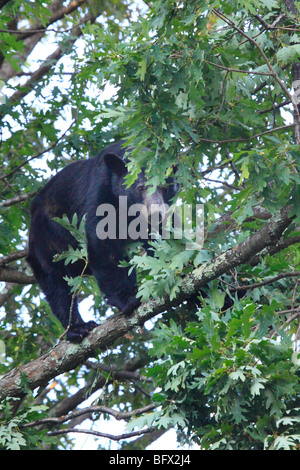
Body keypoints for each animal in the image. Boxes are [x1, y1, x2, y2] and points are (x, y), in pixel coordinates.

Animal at [26, 140, 178, 342]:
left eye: (165, 187)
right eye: (140, 187)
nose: (156, 214)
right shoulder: (101, 193)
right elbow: (103, 246)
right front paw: (127, 298)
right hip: (47, 237)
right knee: (56, 283)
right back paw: (77, 328)